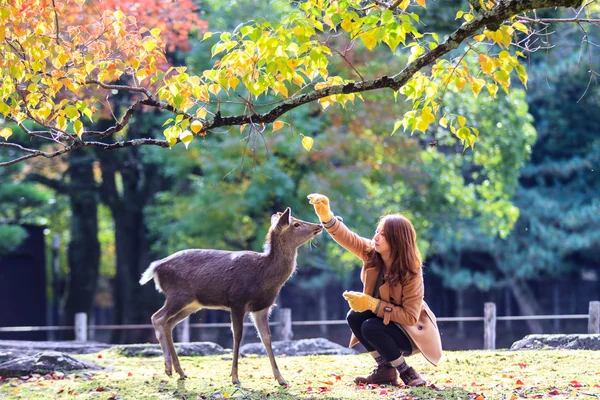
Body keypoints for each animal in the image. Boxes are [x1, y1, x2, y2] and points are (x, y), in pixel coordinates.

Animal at [139, 208, 324, 386]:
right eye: (296, 224)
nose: (319, 225)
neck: (263, 274)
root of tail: (155, 267)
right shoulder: (237, 300)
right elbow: (237, 335)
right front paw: (235, 377)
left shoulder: (262, 307)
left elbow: (266, 338)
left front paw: (281, 379)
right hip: (177, 295)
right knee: (157, 317)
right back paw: (168, 367)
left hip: (191, 304)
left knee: (168, 323)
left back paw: (180, 371)